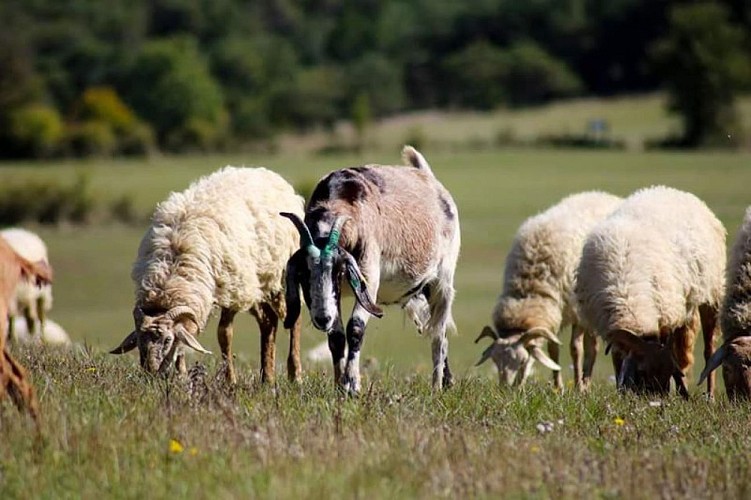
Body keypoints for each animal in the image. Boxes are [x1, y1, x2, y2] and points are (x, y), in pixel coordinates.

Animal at [110, 166, 305, 385]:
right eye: (138, 339)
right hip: (259, 282)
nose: (150, 374)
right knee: (268, 321)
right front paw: (182, 376)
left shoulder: (231, 288)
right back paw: (267, 377)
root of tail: (269, 175)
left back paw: (294, 373)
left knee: (293, 319)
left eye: (167, 339)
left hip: (278, 277)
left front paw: (229, 379)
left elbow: (224, 334)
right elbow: (186, 340)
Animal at [282, 146, 460, 393]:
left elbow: (355, 328)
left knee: (438, 334)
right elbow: (336, 337)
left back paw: (436, 387)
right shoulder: (334, 296)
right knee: (432, 326)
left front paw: (352, 385)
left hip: (442, 280)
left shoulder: (368, 276)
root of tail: (428, 177)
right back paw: (448, 381)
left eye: (338, 271)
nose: (322, 318)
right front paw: (339, 385)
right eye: (303, 276)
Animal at [475, 191, 622, 390]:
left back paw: (586, 384)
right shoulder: (554, 314)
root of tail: (606, 195)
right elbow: (553, 351)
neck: (528, 291)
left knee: (592, 347)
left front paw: (577, 386)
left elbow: (575, 349)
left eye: (522, 361)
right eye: (496, 361)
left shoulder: (575, 311)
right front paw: (558, 388)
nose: (507, 390)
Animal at [575, 186, 725, 398]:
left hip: (711, 294)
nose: (658, 401)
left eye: (668, 372)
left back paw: (709, 395)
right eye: (642, 371)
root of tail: (672, 190)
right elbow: (618, 360)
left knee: (709, 351)